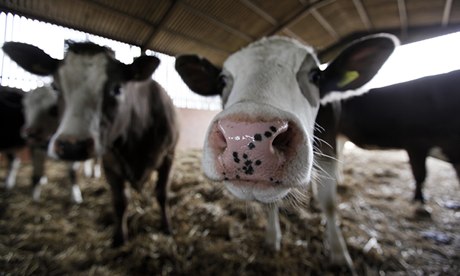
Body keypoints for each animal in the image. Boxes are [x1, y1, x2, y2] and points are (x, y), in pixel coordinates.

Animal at [3, 40, 180, 246]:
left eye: (117, 88)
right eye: (55, 86)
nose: (72, 146)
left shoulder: (168, 156)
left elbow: (162, 193)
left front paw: (167, 227)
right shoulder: (110, 163)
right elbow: (120, 201)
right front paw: (119, 237)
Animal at [174, 33, 398, 270]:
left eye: (316, 75)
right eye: (222, 81)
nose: (245, 137)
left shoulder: (329, 146)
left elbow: (329, 203)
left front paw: (339, 253)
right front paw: (273, 239)